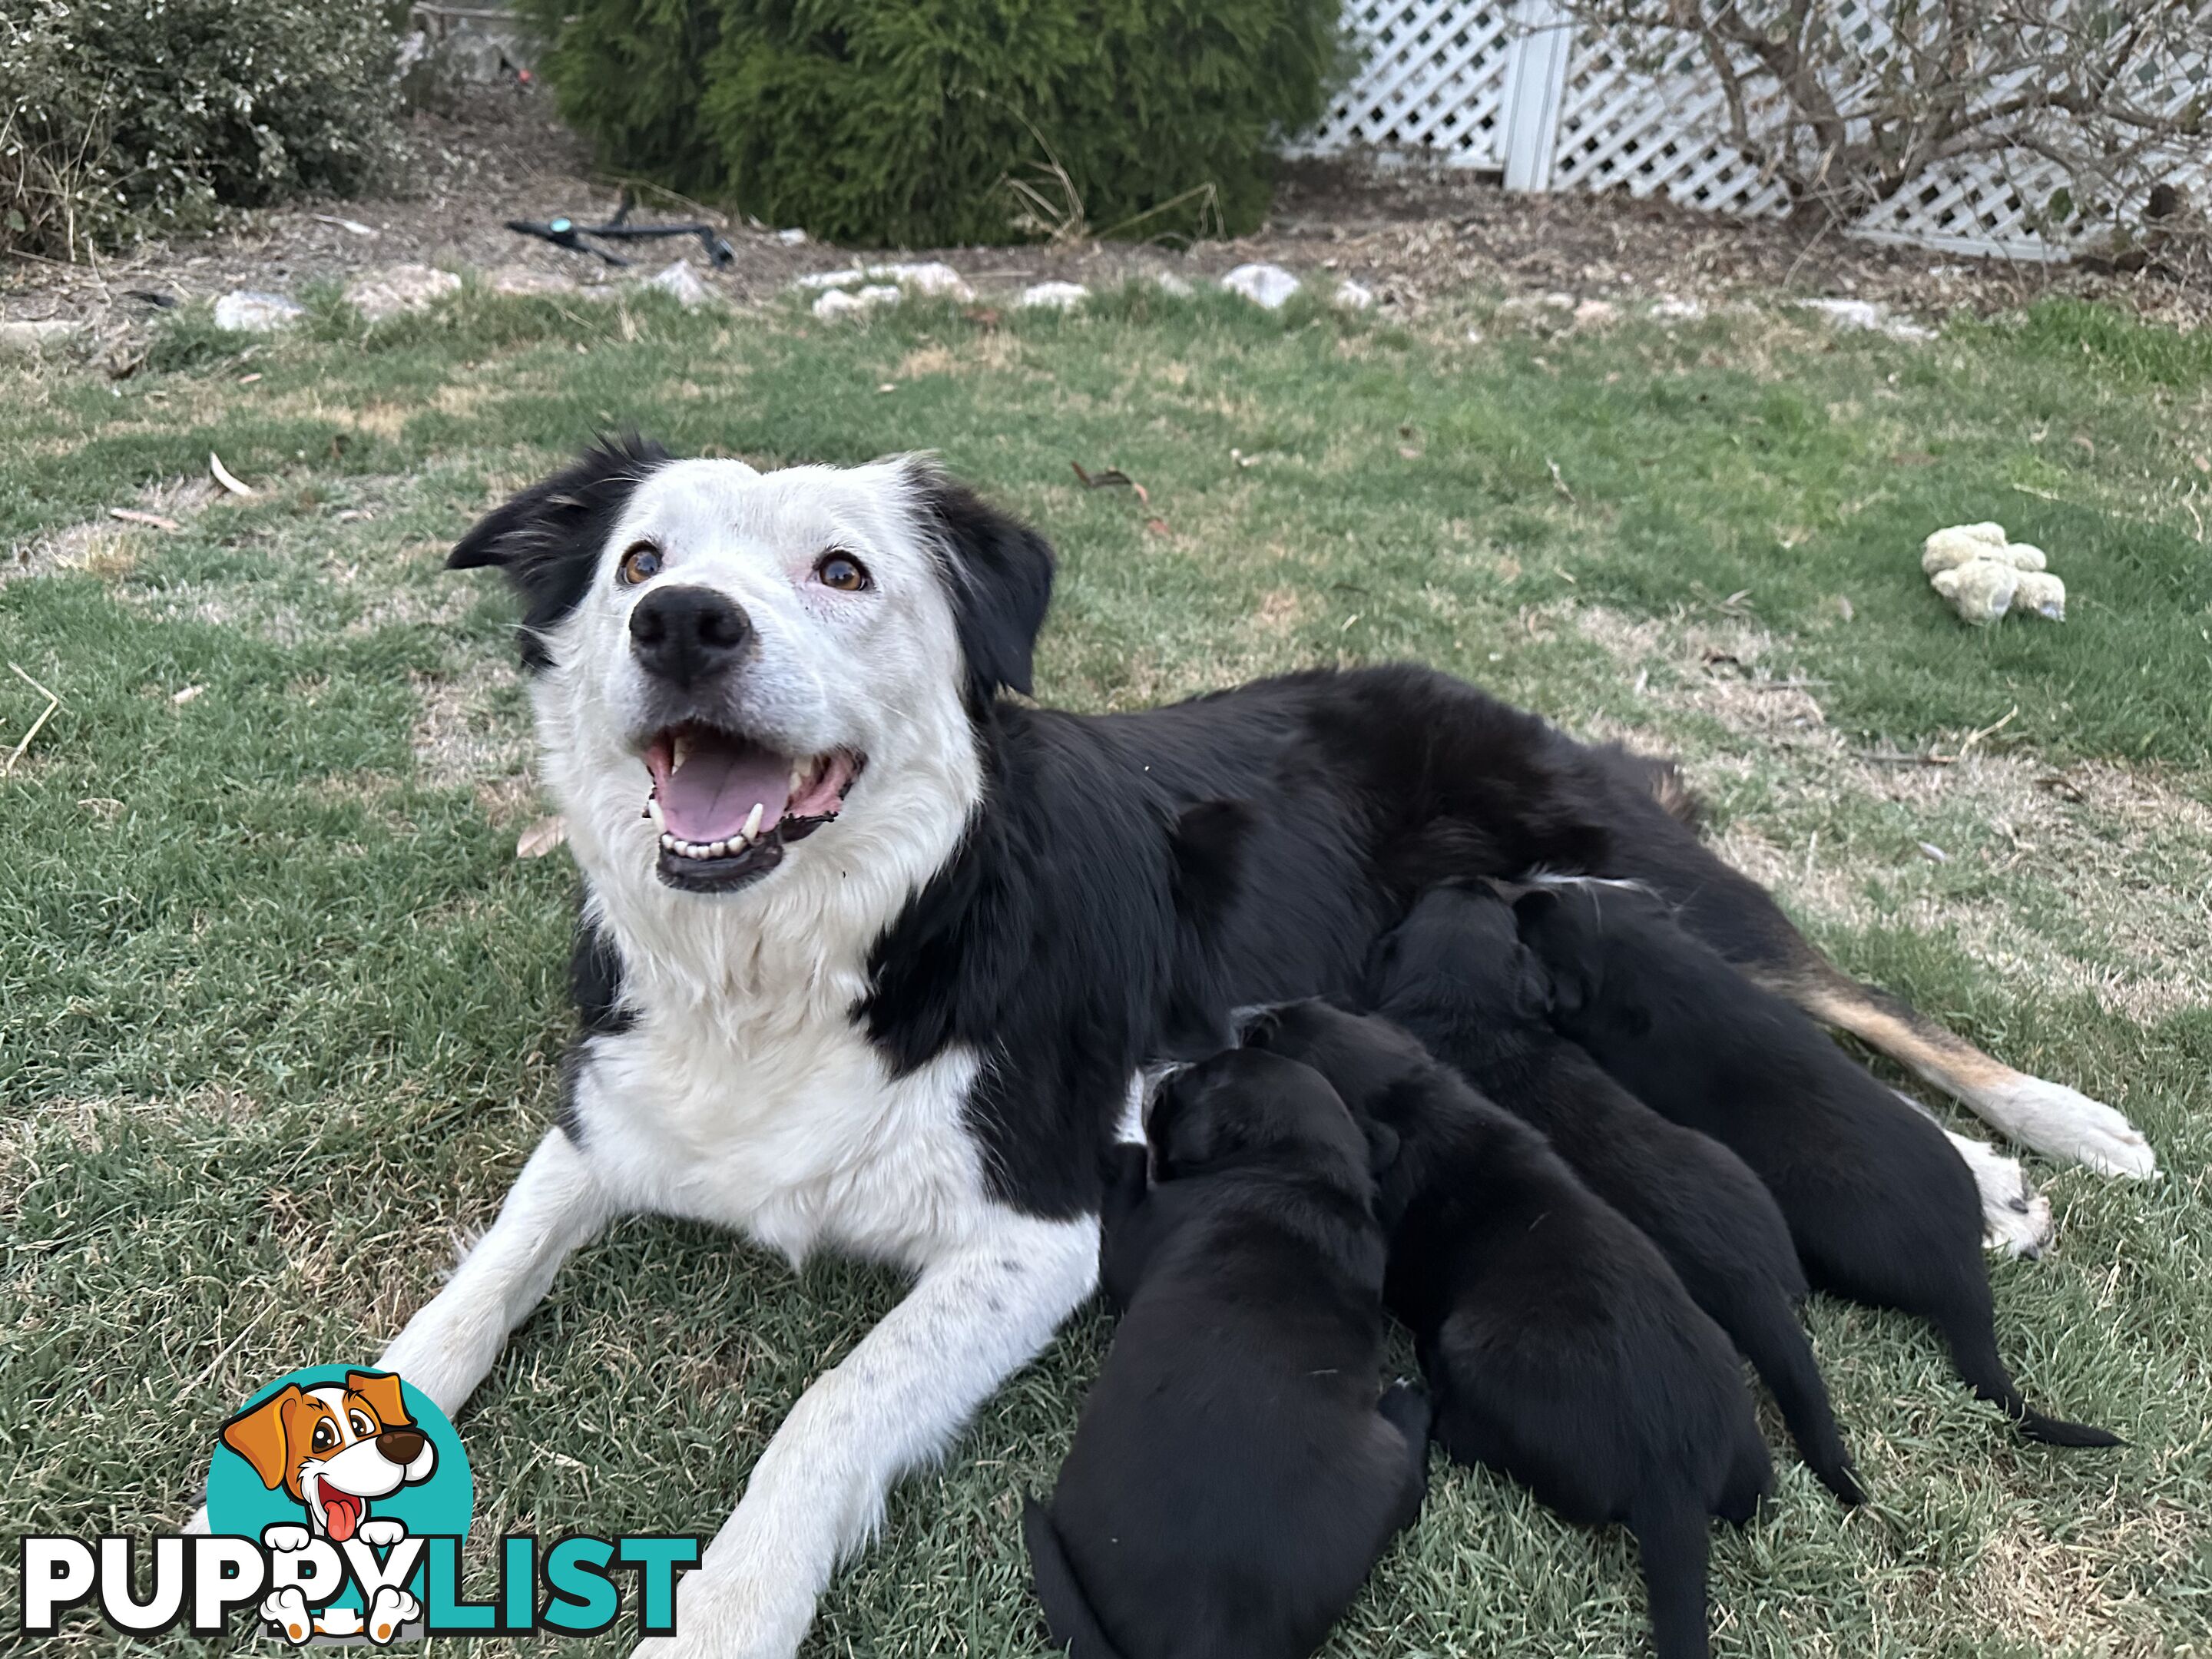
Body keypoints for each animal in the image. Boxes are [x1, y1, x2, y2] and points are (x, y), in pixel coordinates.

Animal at [1022, 1052, 1424, 1659]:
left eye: (1188, 1086)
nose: (1164, 1072)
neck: (1302, 1168)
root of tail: (1209, 1637)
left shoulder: (1134, 1238)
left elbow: (1132, 1173)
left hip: (1389, 1458)